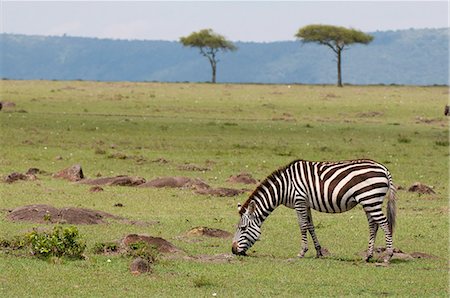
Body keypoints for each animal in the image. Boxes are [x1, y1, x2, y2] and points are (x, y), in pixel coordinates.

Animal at [232, 159, 398, 262]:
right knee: (373, 225)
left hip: (371, 199)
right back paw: (368, 256)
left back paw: (388, 256)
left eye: (243, 228)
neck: (284, 187)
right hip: (368, 201)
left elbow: (302, 226)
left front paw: (301, 252)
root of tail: (384, 168)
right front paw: (318, 252)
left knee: (384, 223)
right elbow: (310, 226)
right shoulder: (306, 203)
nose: (233, 250)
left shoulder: (299, 200)